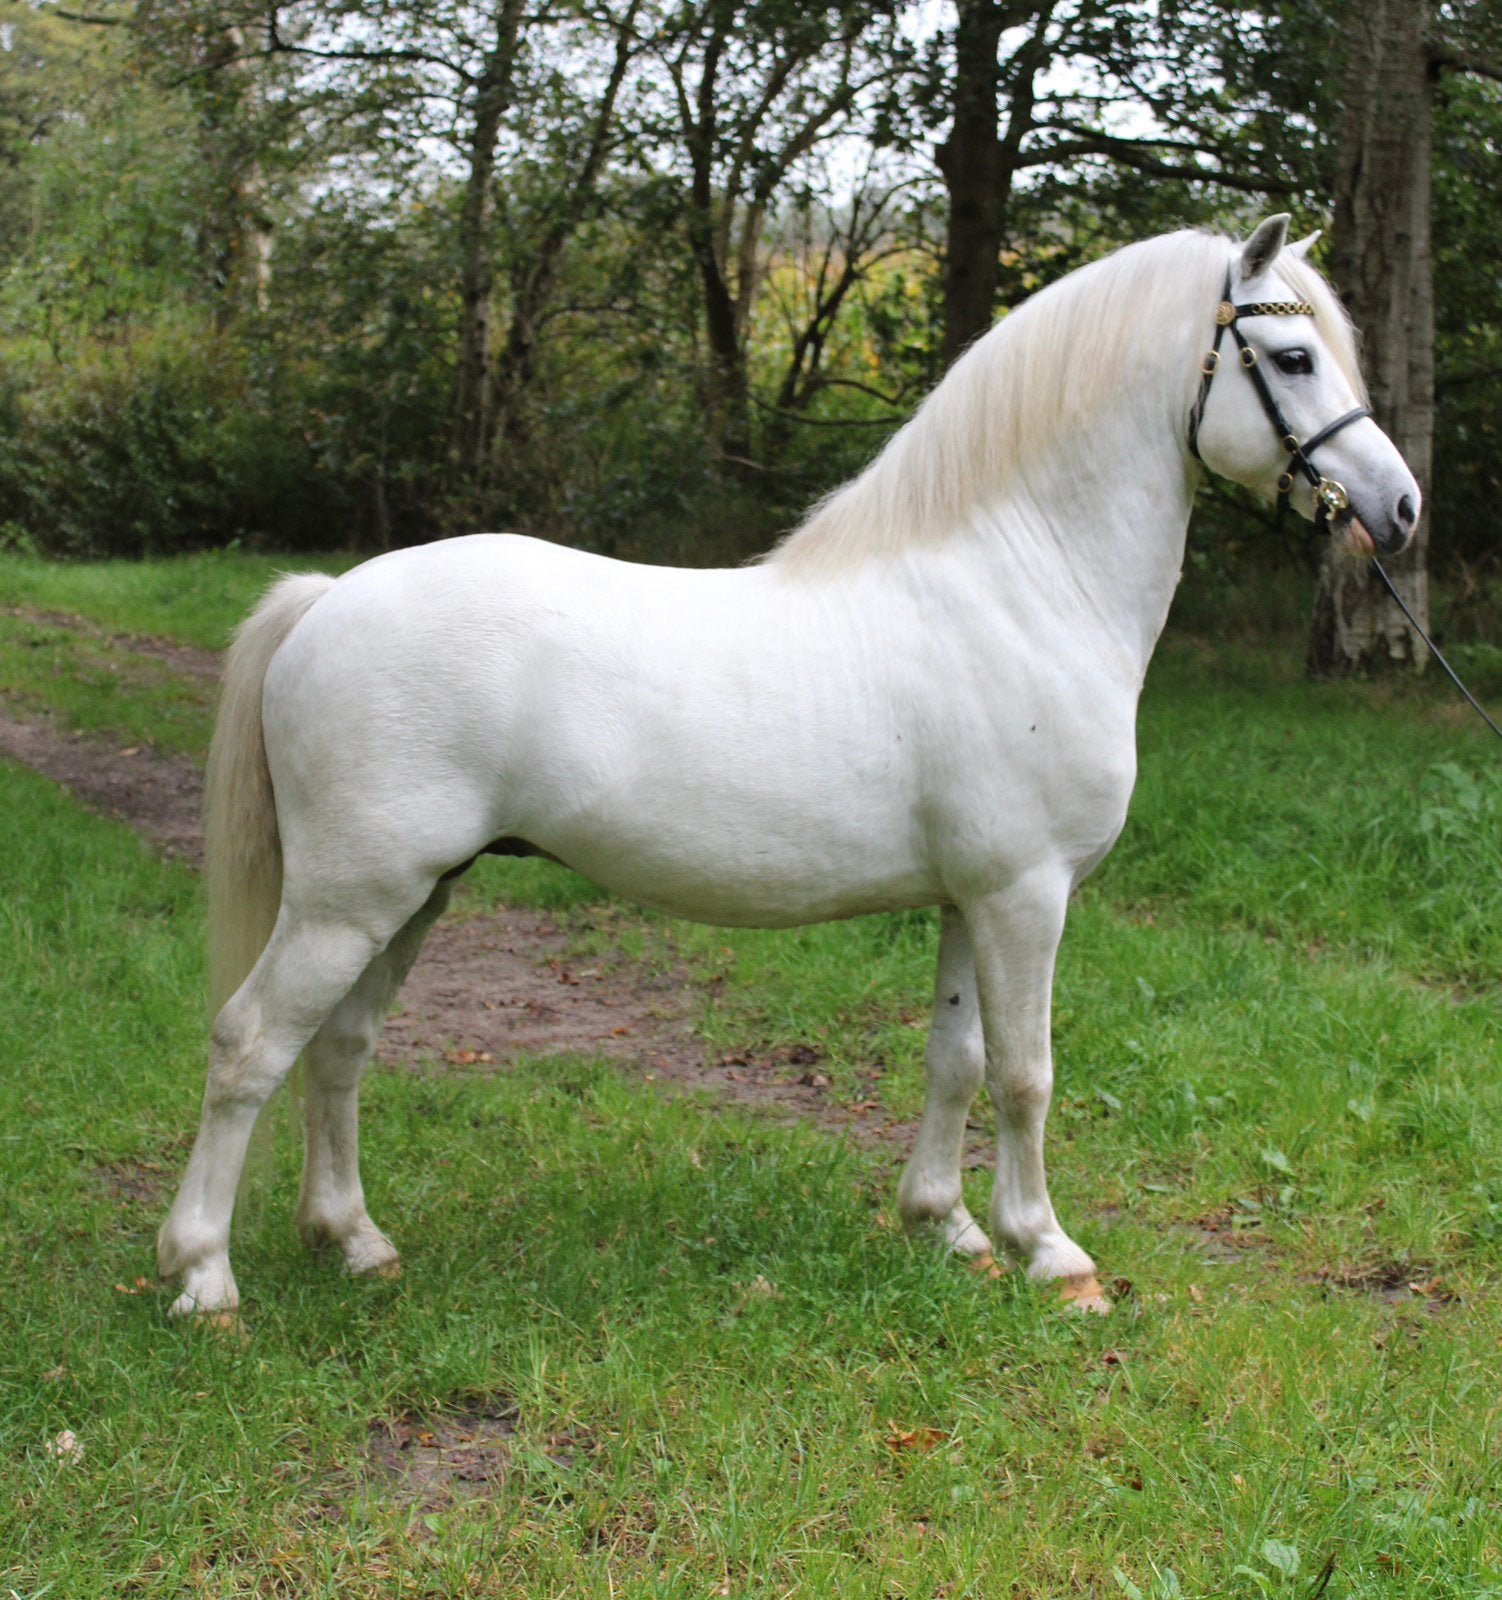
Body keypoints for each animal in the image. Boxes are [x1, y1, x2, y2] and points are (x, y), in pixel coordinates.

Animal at [158, 215, 1419, 1320]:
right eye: (1292, 355)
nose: (1398, 509)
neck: (1019, 580)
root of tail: (328, 597)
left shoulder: (971, 898)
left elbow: (955, 1058)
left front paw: (947, 1228)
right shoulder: (1026, 895)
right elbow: (1025, 1072)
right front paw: (1051, 1255)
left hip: (413, 893)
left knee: (338, 1047)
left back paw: (354, 1241)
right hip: (349, 897)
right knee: (250, 1044)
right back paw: (205, 1278)